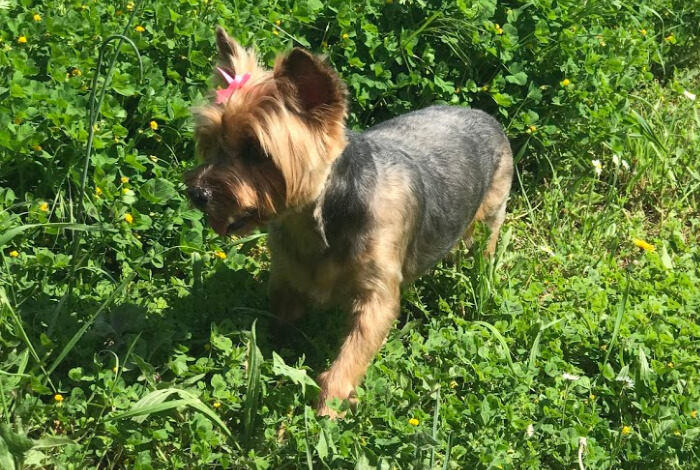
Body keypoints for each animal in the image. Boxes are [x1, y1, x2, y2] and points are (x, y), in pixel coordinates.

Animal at [186, 26, 516, 414]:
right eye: (209, 142)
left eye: (256, 152)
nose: (197, 193)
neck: (320, 215)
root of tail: (486, 116)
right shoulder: (285, 276)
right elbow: (279, 322)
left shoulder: (376, 294)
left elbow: (350, 357)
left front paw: (327, 411)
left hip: (488, 218)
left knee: (481, 255)